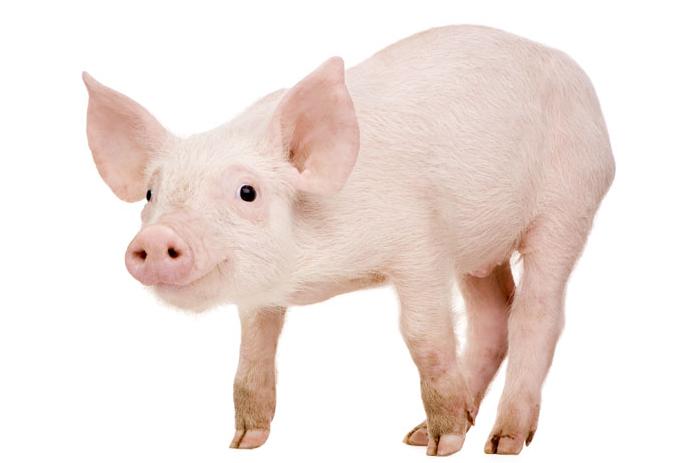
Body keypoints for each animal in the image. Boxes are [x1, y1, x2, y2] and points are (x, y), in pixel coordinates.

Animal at [83, 25, 614, 456]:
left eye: (247, 192)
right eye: (150, 193)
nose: (157, 237)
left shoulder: (420, 245)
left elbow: (423, 336)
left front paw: (444, 446)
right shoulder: (262, 294)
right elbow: (253, 352)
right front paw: (244, 441)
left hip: (569, 202)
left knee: (537, 314)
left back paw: (498, 442)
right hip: (479, 247)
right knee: (492, 315)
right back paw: (422, 432)